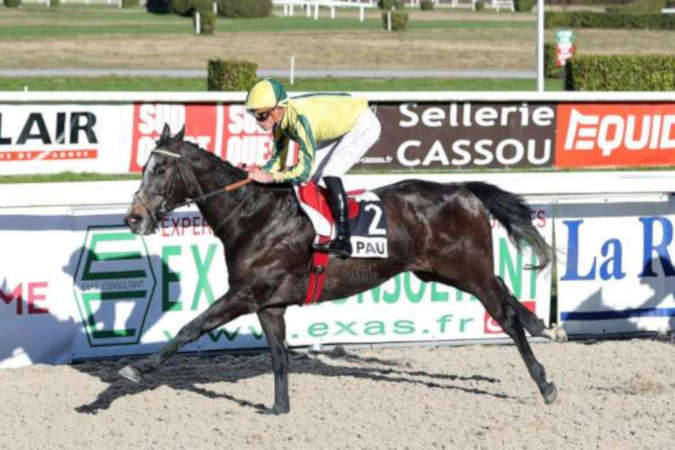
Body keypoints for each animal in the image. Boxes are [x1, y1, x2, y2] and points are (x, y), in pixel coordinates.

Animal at [120, 124, 567, 414]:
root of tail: (463, 190)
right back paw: (546, 327)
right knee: (506, 289)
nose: (134, 218)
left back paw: (545, 382)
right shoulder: (269, 304)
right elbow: (278, 354)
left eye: (161, 169)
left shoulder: (246, 293)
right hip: (442, 271)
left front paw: (137, 367)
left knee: (506, 315)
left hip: (467, 270)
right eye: (144, 167)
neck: (254, 214)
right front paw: (279, 407)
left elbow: (190, 327)